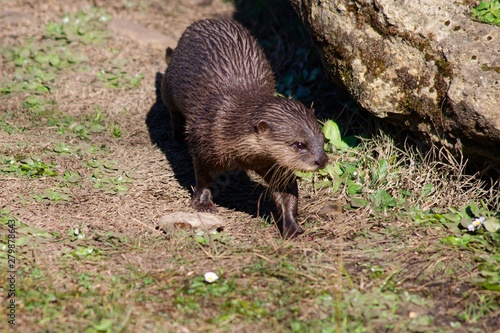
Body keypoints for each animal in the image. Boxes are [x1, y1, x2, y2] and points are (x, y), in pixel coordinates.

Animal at [160, 18, 328, 239]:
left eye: (322, 140)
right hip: (169, 85)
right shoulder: (203, 141)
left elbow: (287, 193)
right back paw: (177, 134)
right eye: (299, 144)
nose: (322, 160)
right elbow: (203, 176)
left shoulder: (272, 164)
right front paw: (203, 203)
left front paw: (292, 226)